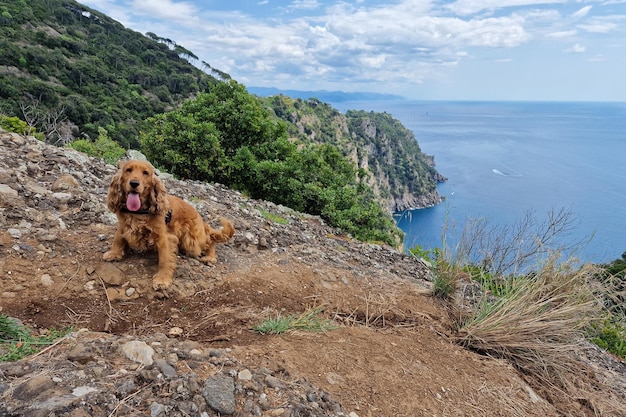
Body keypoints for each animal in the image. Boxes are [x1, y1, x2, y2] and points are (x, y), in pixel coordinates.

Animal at [102, 159, 234, 290]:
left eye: (146, 173)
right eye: (128, 170)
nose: (134, 183)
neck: (138, 212)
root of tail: (201, 219)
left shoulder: (165, 237)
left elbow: (165, 259)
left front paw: (162, 279)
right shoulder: (123, 224)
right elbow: (118, 238)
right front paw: (114, 253)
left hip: (191, 240)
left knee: (209, 241)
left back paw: (210, 257)